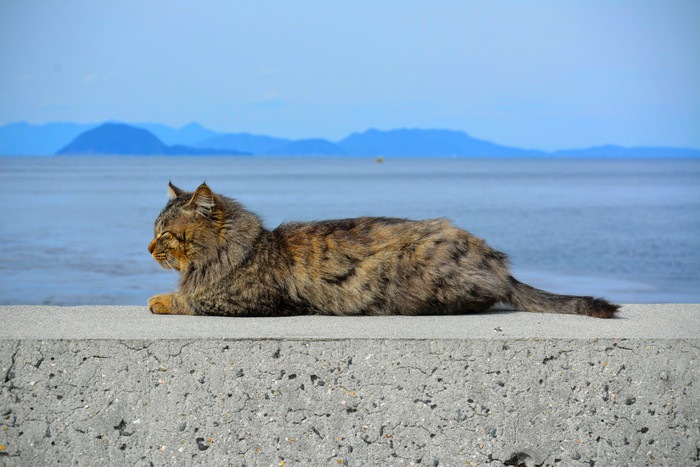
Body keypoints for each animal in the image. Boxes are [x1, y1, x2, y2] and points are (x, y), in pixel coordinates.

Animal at [148, 182, 616, 318]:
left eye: (167, 234)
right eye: (154, 230)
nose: (149, 247)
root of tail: (497, 262)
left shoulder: (245, 300)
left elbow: (189, 299)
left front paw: (160, 299)